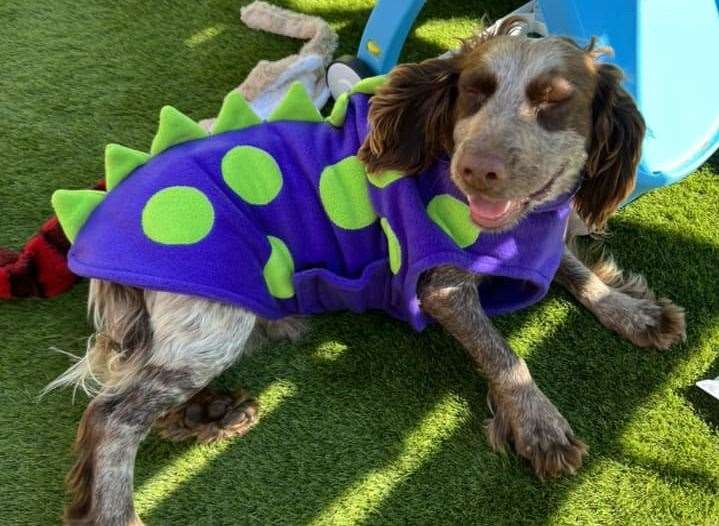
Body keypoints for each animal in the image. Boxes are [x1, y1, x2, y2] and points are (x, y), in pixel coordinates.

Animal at [50, 18, 688, 524]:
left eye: (554, 101)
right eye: (472, 94)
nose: (476, 170)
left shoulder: (530, 245)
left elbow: (575, 270)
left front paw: (631, 311)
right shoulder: (441, 285)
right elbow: (505, 356)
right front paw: (537, 424)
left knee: (135, 387)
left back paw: (207, 412)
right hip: (216, 314)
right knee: (111, 415)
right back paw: (117, 509)